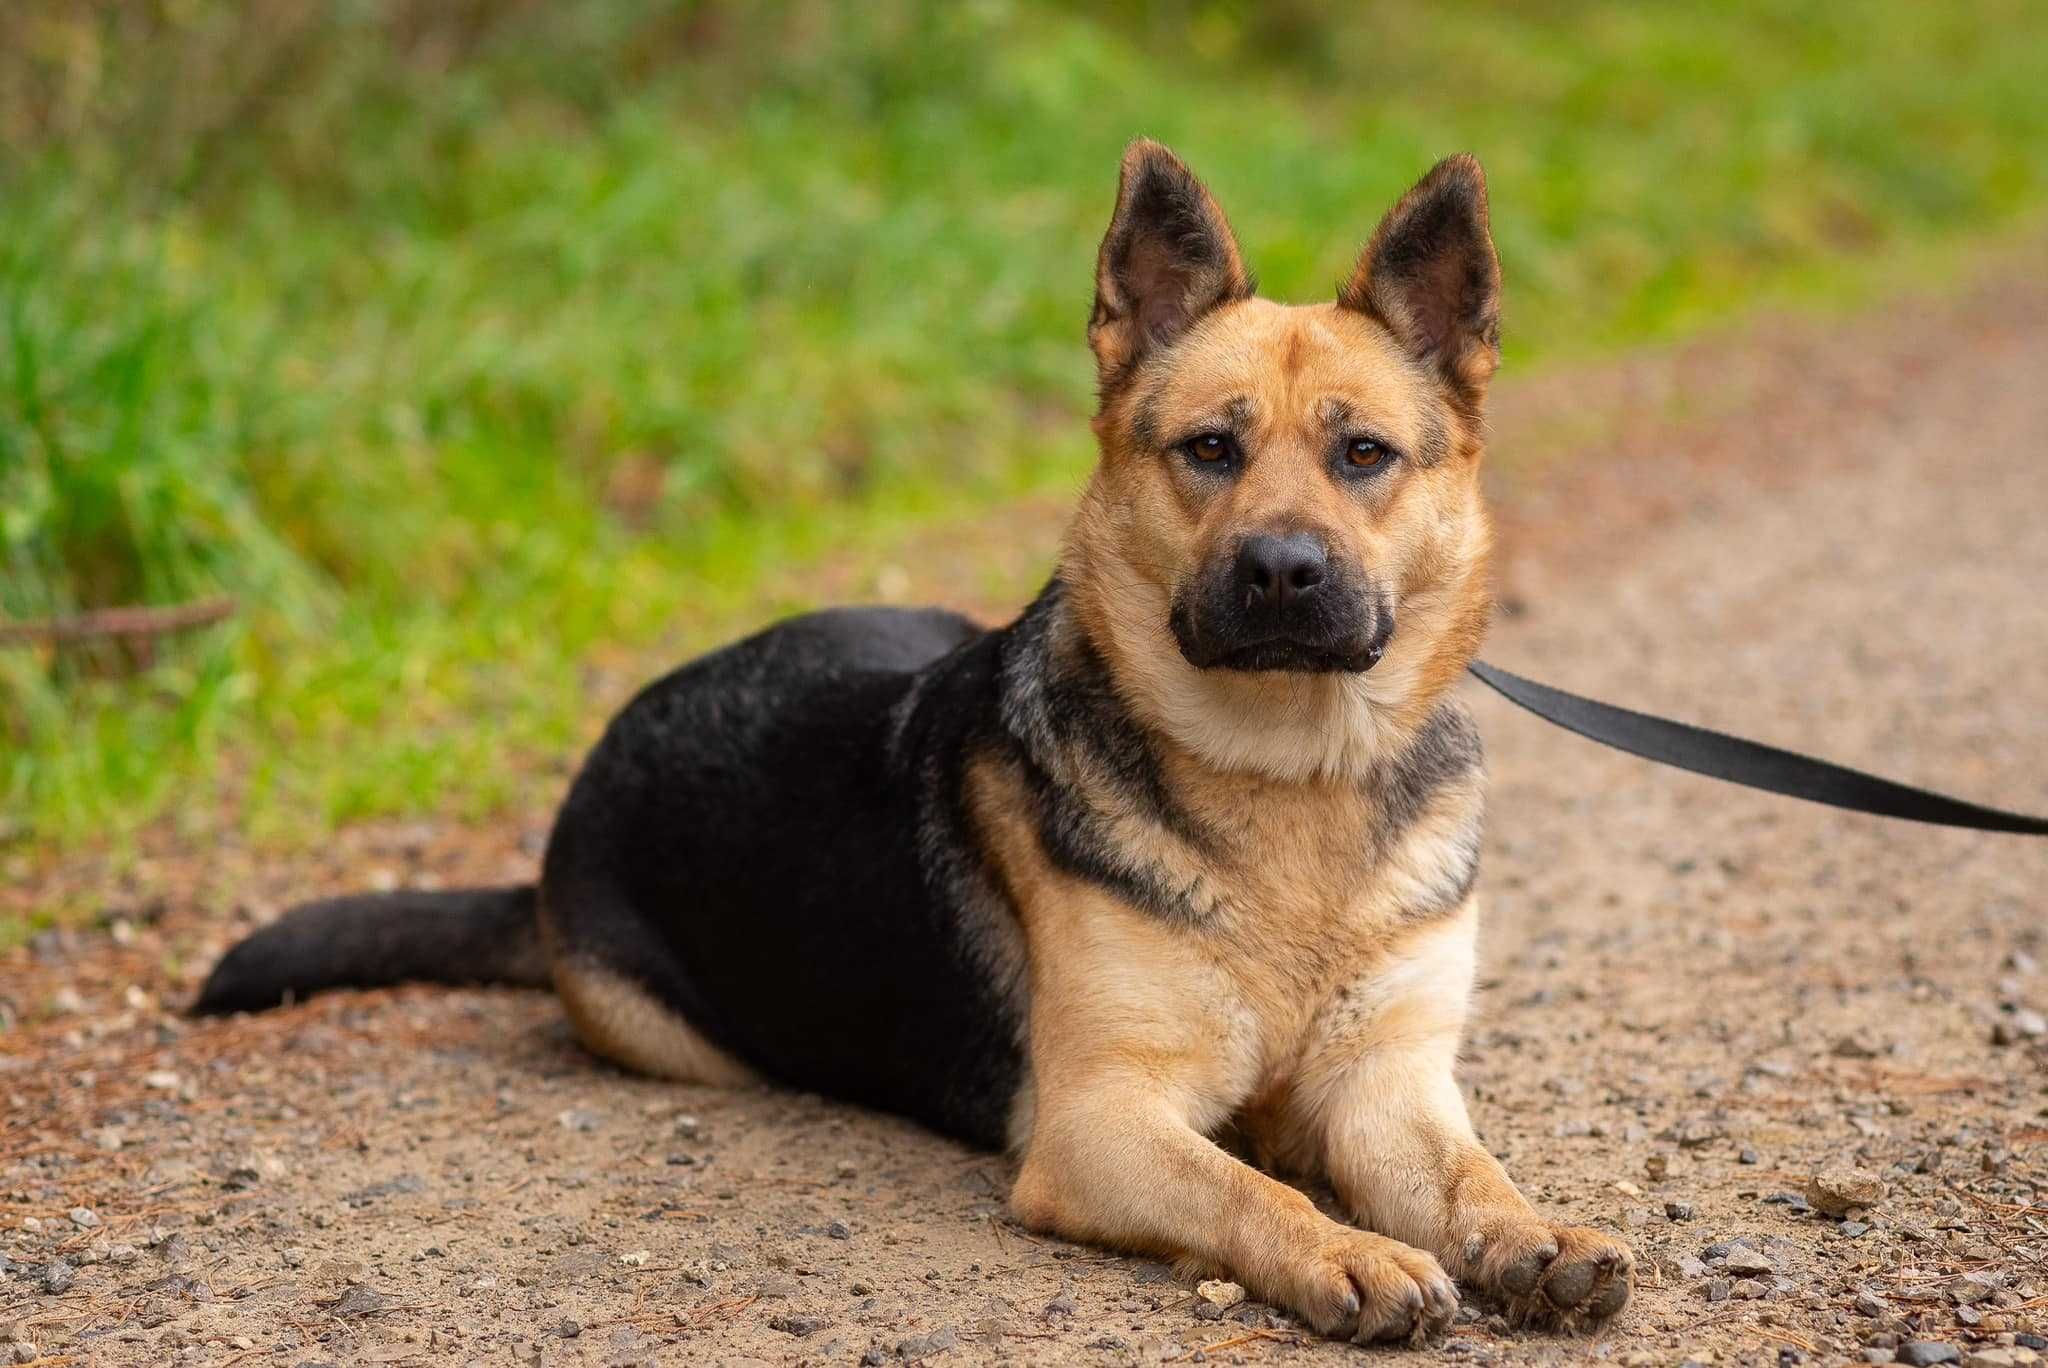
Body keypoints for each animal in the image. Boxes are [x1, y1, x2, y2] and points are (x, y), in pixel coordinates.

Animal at [195, 144, 1630, 1343]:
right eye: (1210, 450)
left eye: (1366, 454)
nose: (1281, 571)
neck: (1289, 778)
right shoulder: (1098, 1125)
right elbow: (1248, 1192)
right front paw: (1347, 1251)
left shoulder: (1388, 1090)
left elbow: (1468, 1173)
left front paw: (1528, 1234)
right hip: (669, 1034)